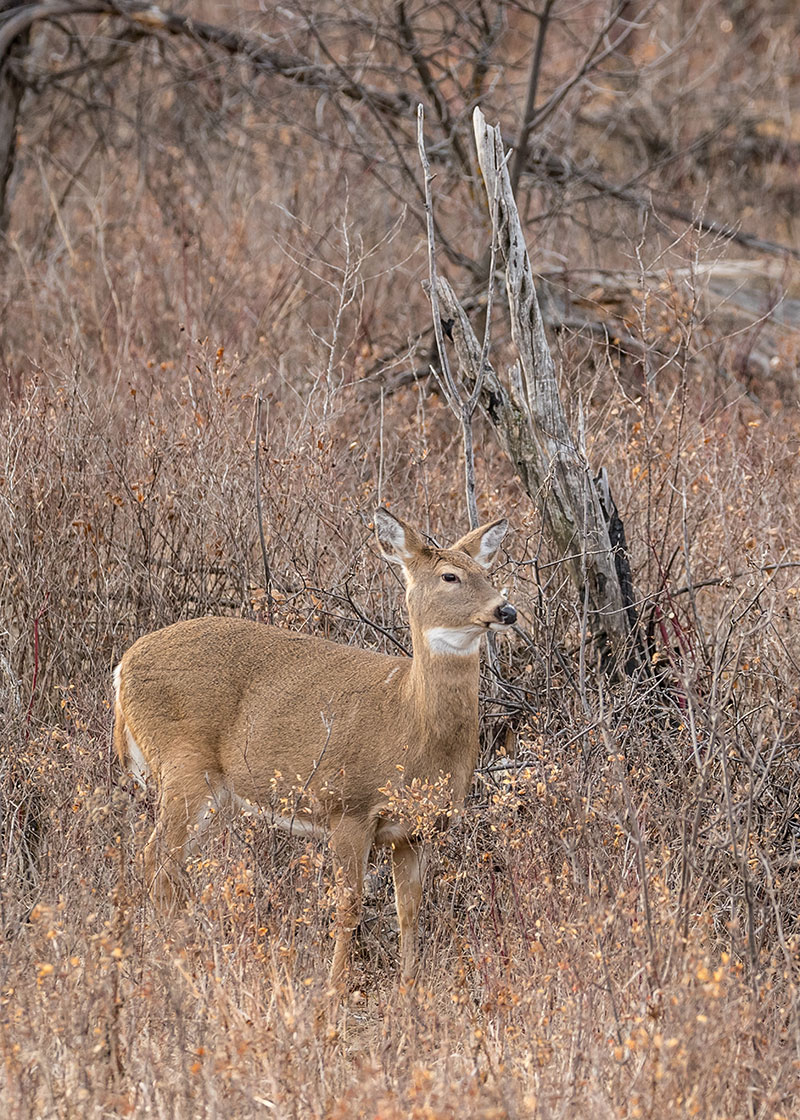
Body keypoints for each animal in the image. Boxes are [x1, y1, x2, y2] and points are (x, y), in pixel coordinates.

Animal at [112, 510, 513, 990]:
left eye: (488, 573)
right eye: (450, 575)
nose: (506, 610)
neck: (408, 722)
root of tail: (122, 666)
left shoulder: (418, 828)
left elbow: (410, 911)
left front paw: (408, 991)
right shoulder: (349, 807)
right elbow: (349, 906)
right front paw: (334, 991)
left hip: (213, 791)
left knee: (171, 863)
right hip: (183, 765)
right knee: (156, 857)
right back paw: (176, 958)